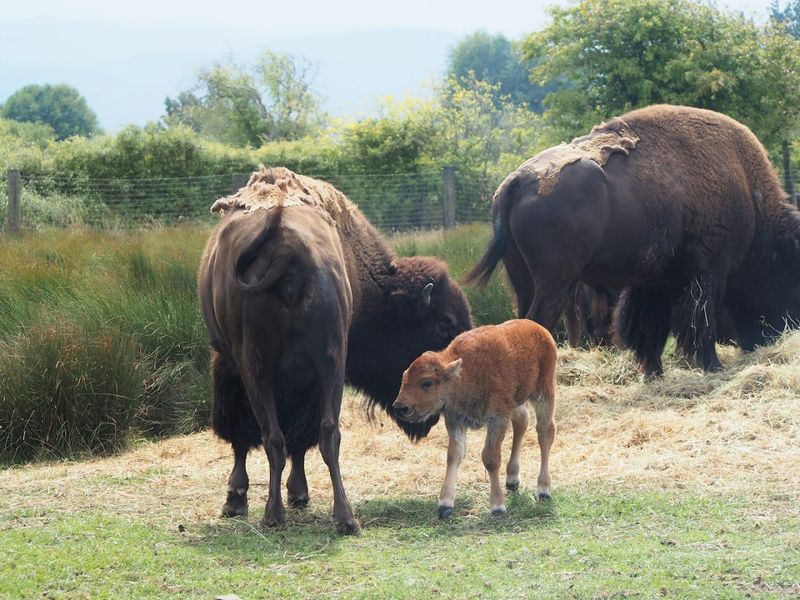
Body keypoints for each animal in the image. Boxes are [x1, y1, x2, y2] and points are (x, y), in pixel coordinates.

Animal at [198, 167, 472, 533]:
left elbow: (251, 435)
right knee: (326, 433)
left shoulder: (230, 363)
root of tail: (284, 245)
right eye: (443, 325)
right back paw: (344, 517)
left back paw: (275, 514)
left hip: (257, 366)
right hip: (328, 363)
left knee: (274, 435)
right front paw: (290, 494)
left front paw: (238, 499)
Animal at [468, 105, 800, 376]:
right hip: (556, 281)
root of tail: (518, 180)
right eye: (787, 274)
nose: (784, 331)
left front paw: (654, 372)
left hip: (523, 281)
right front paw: (712, 366)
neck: (751, 195)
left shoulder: (654, 281)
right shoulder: (708, 272)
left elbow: (647, 328)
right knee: (539, 321)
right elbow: (699, 322)